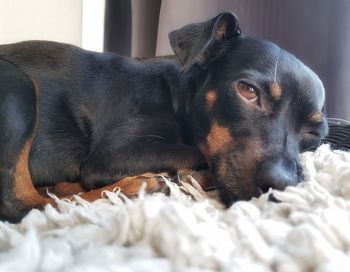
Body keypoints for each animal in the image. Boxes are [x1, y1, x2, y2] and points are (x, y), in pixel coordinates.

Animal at [0, 11, 328, 222]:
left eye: (316, 134)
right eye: (248, 90)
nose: (281, 186)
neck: (178, 96)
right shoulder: (113, 155)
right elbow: (197, 152)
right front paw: (191, 174)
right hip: (19, 87)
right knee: (27, 205)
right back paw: (136, 186)